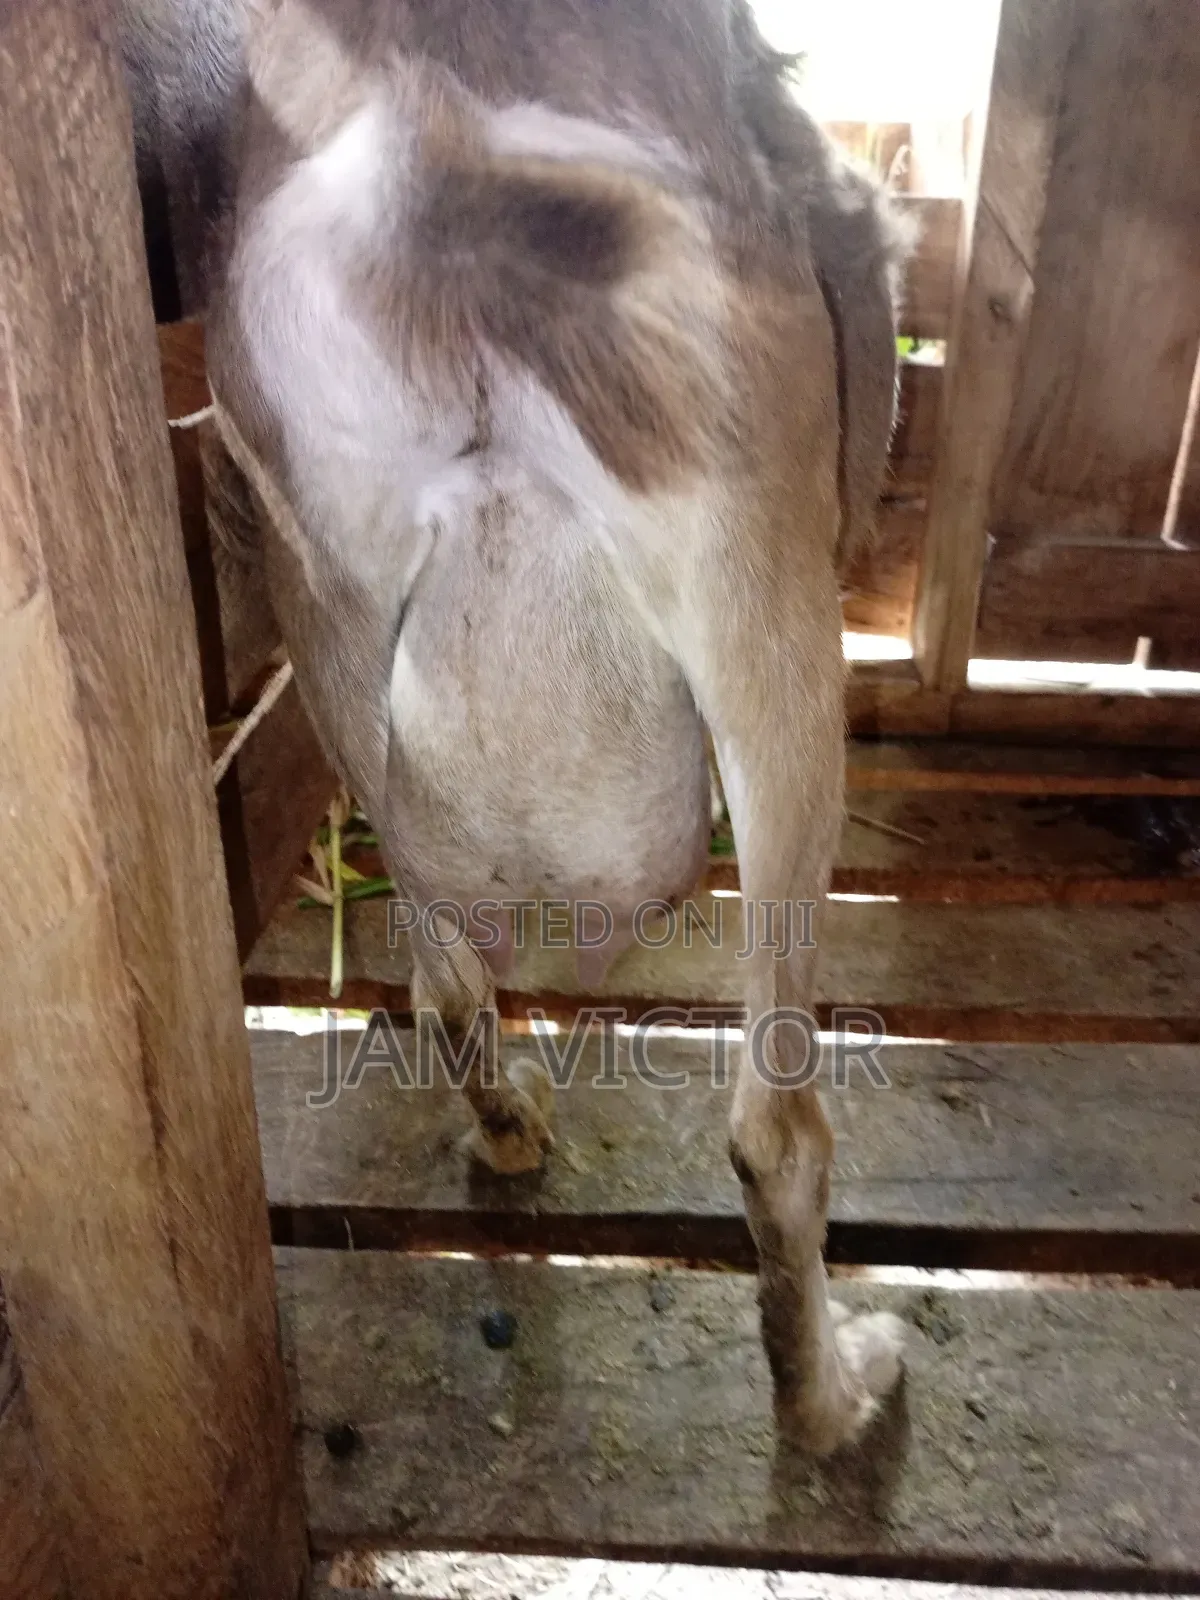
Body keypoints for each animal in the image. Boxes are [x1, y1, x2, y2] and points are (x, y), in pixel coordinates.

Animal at [121, 0, 909, 1454]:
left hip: (334, 635)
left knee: (438, 973)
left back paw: (507, 1122)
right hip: (767, 626)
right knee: (775, 1130)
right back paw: (836, 1397)